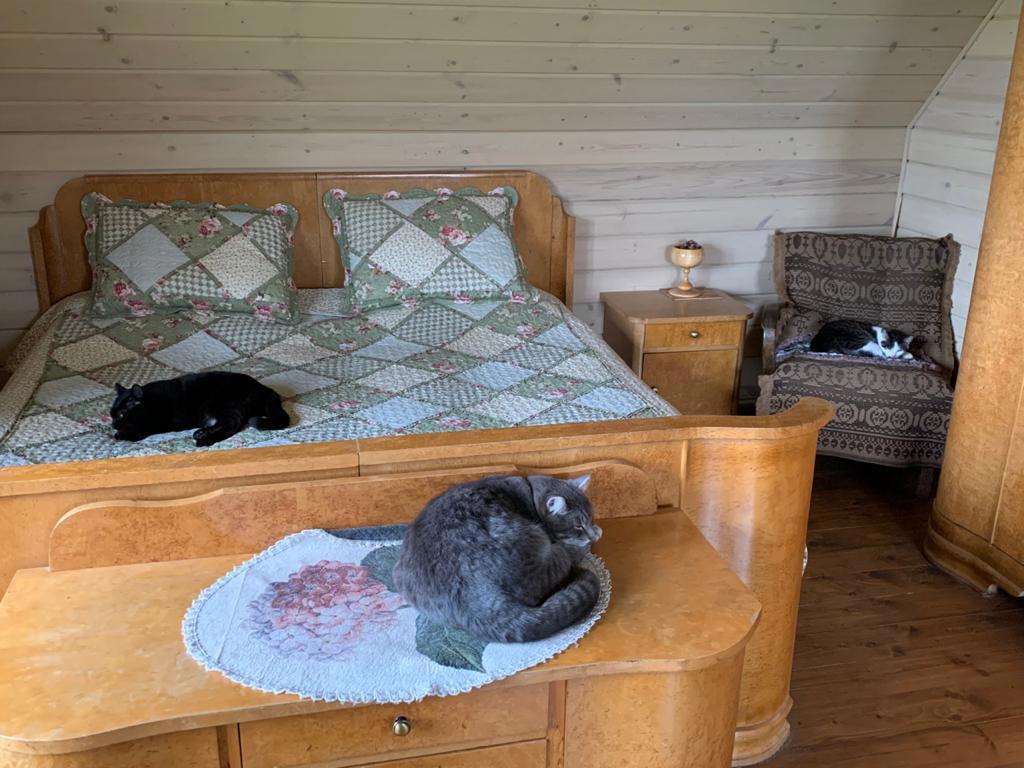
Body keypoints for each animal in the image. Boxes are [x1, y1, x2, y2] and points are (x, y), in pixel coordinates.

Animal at [110, 371, 290, 447]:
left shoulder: (162, 422)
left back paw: (203, 440)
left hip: (221, 403)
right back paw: (202, 433)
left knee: (233, 425)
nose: (112, 425)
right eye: (111, 415)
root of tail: (264, 388)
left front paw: (124, 434)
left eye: (121, 415)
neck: (153, 401)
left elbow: (144, 429)